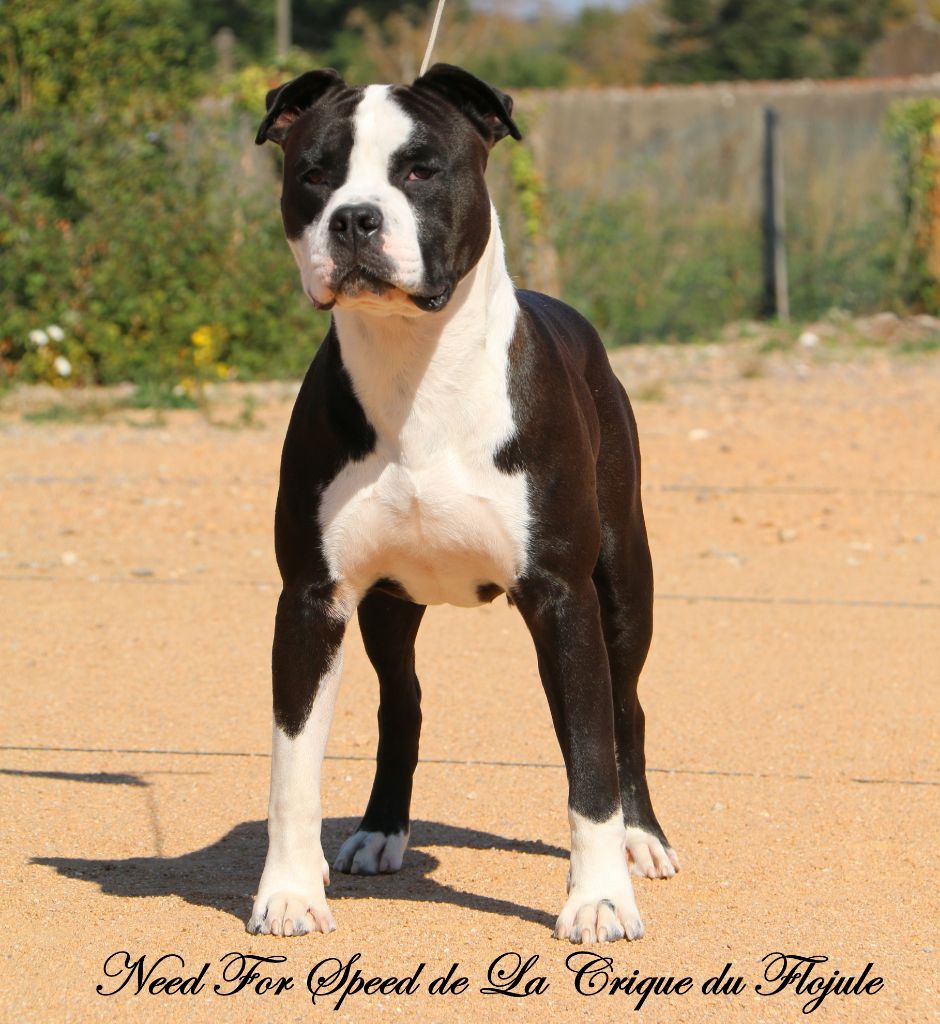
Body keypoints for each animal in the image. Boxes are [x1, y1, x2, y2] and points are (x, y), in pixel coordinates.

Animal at [247, 63, 678, 944]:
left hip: (625, 584)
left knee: (626, 710)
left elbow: (591, 758)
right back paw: (380, 830)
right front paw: (291, 893)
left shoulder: (562, 597)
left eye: (420, 169)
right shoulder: (312, 598)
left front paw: (599, 898)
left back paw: (643, 838)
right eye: (315, 172)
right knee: (402, 705)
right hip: (387, 606)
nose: (355, 219)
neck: (417, 371)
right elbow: (292, 763)